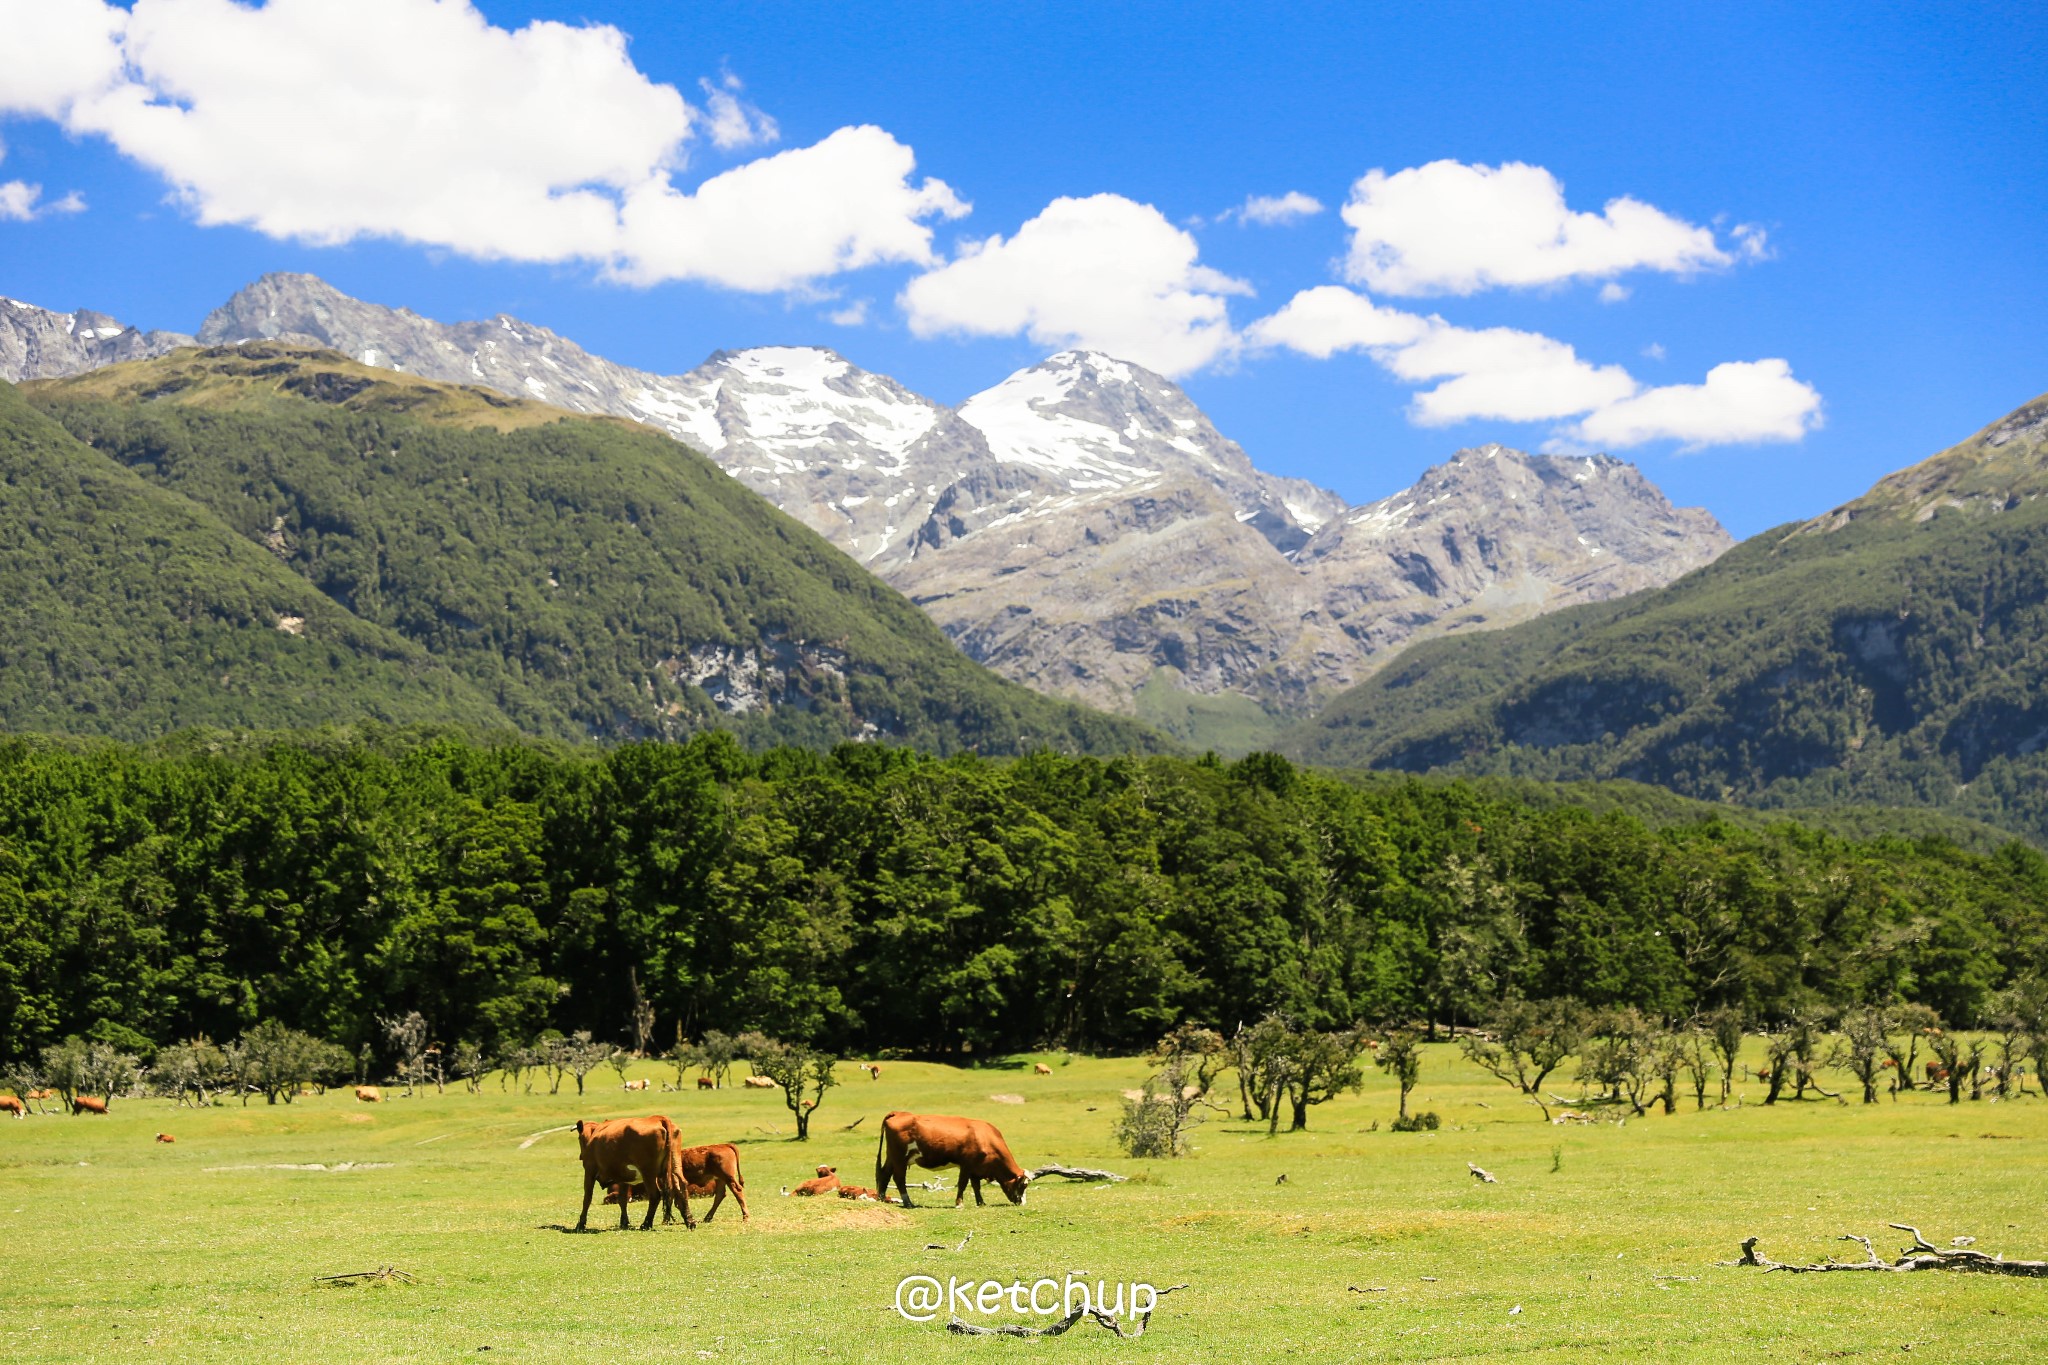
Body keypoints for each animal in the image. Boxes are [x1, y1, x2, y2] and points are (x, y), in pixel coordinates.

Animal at [880, 1113, 1040, 1211]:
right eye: (1023, 1185)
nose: (1022, 1203)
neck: (985, 1138)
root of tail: (898, 1113)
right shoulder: (966, 1165)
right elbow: (962, 1184)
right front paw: (959, 1204)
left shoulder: (976, 1168)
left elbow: (976, 1186)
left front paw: (981, 1202)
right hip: (900, 1158)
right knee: (899, 1179)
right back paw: (908, 1202)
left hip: (891, 1157)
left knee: (884, 1174)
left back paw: (881, 1197)